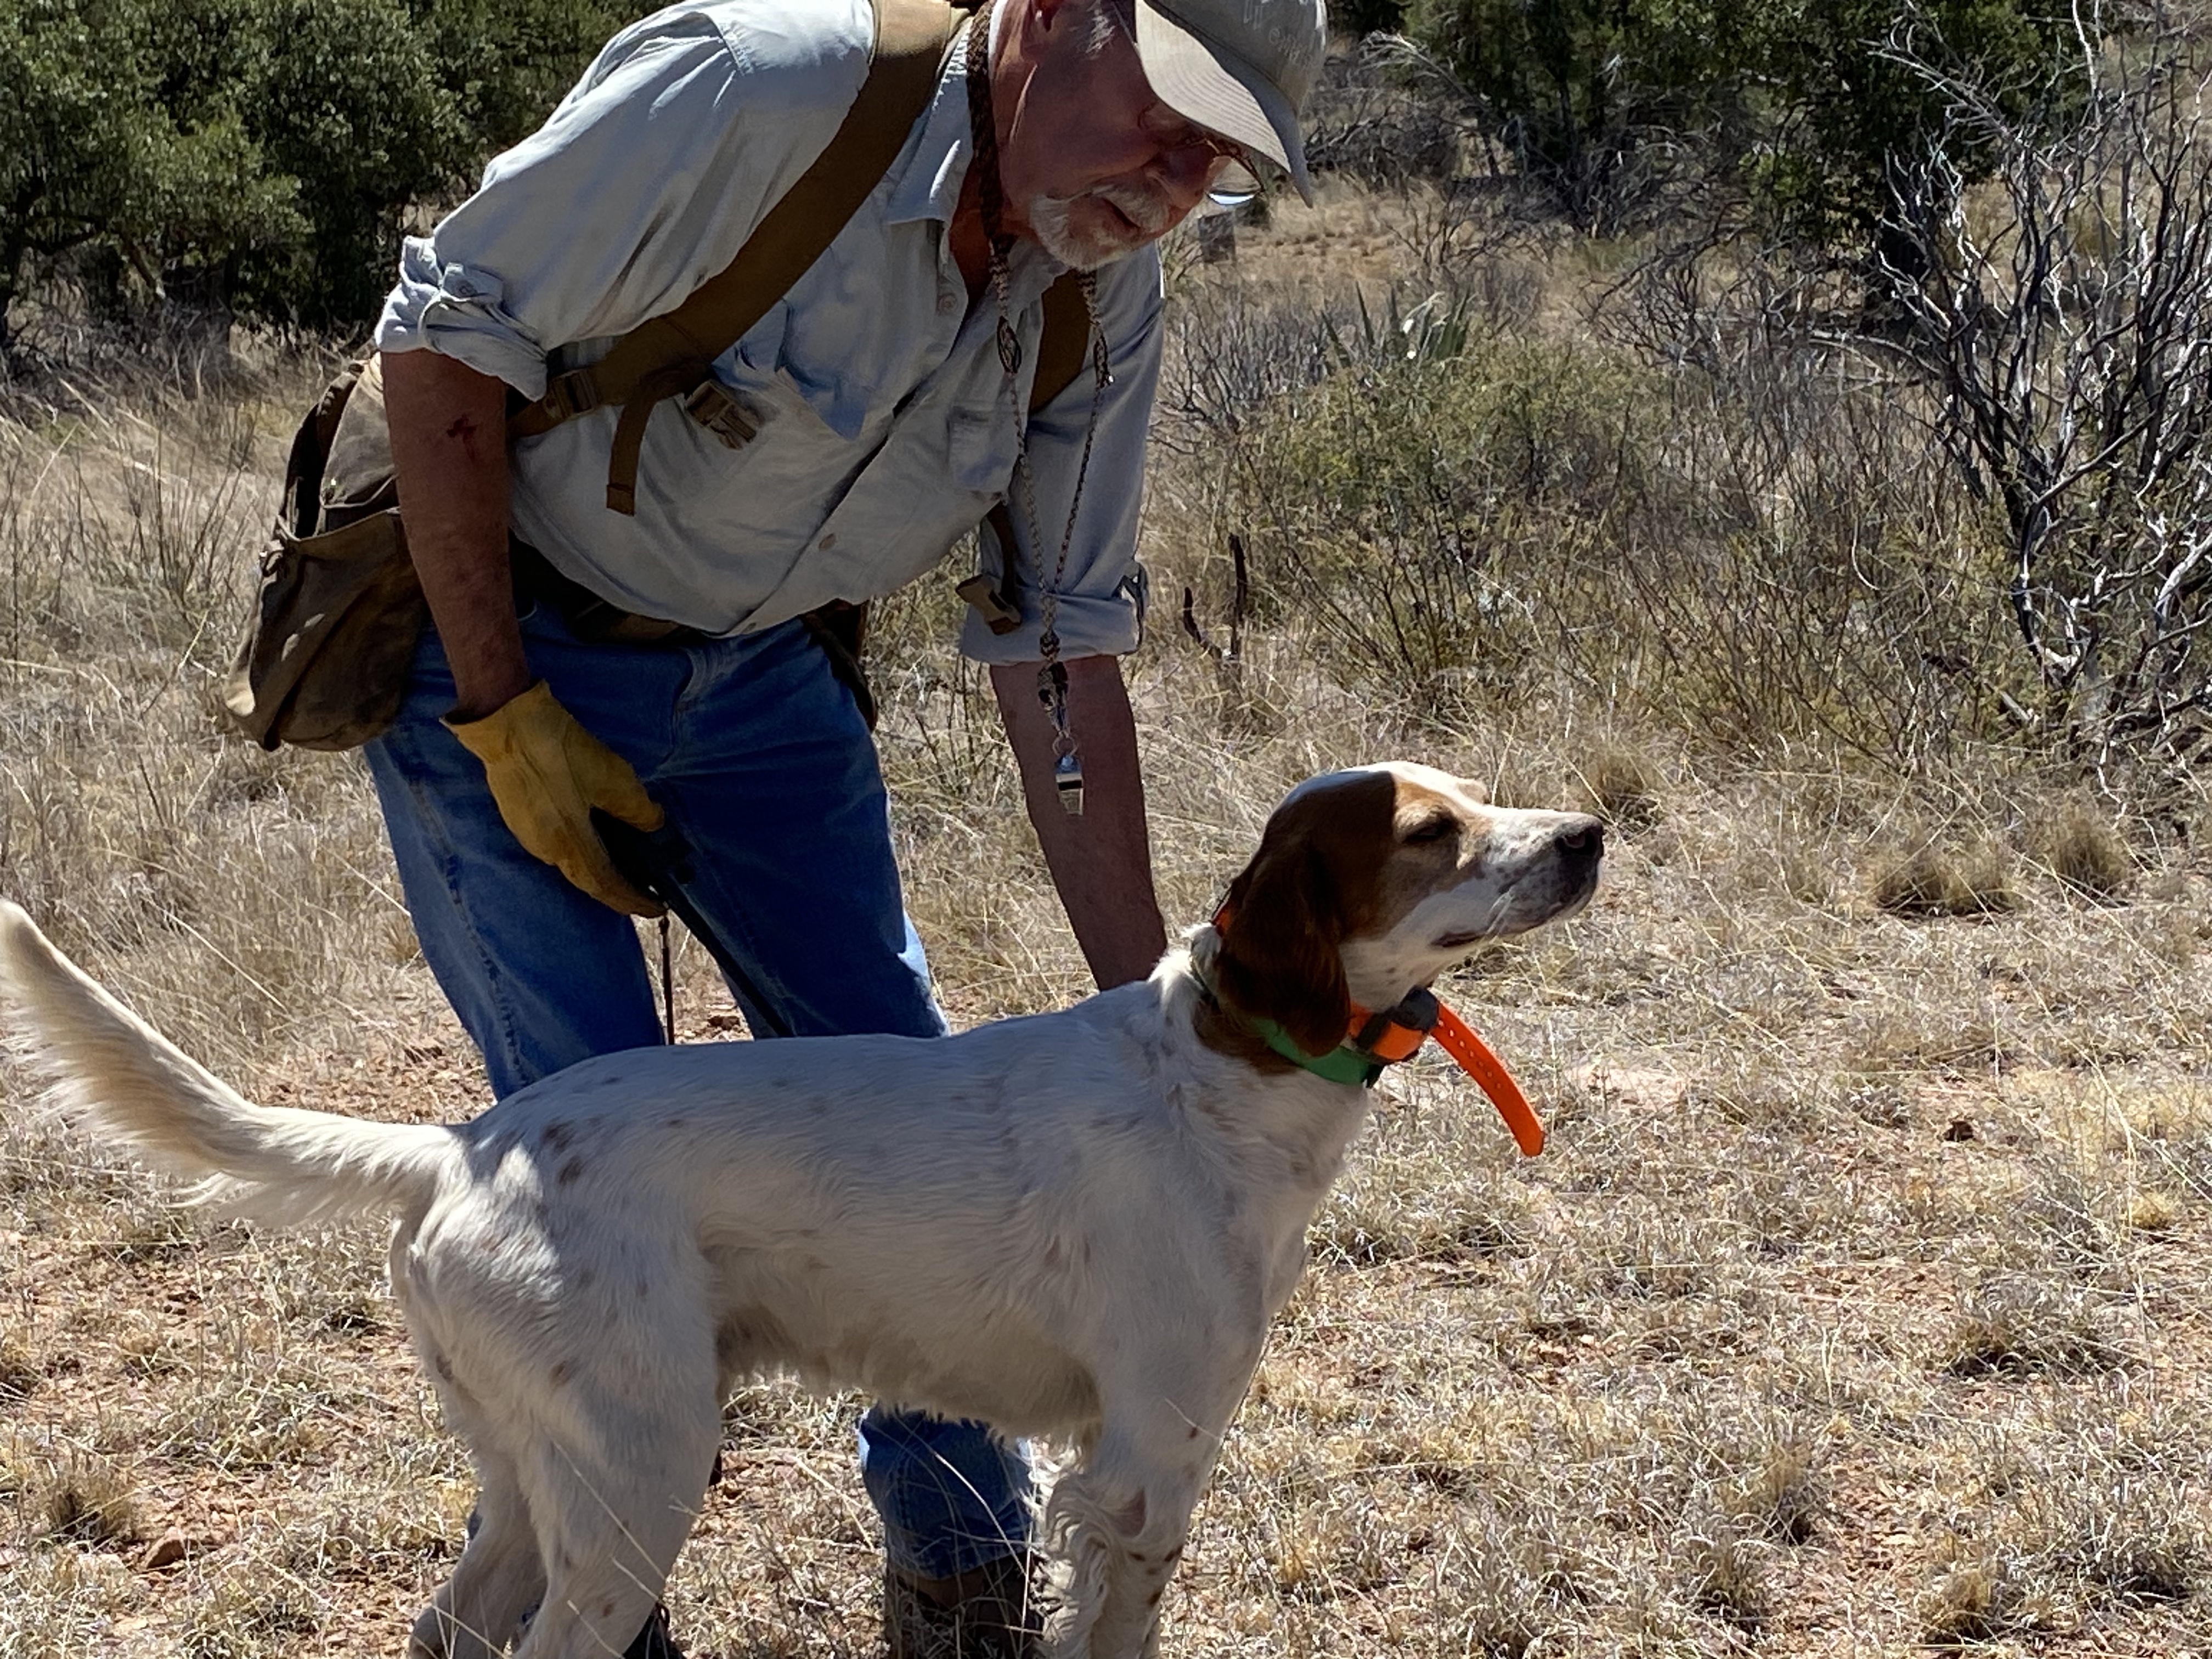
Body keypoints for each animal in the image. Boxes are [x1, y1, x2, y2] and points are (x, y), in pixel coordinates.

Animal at [0, 765, 1601, 1659]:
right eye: (1431, 832)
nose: (1590, 833)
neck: (1215, 1070)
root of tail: (460, 1145)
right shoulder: (1150, 1457)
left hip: (533, 1472)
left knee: (447, 1628)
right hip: (639, 1472)